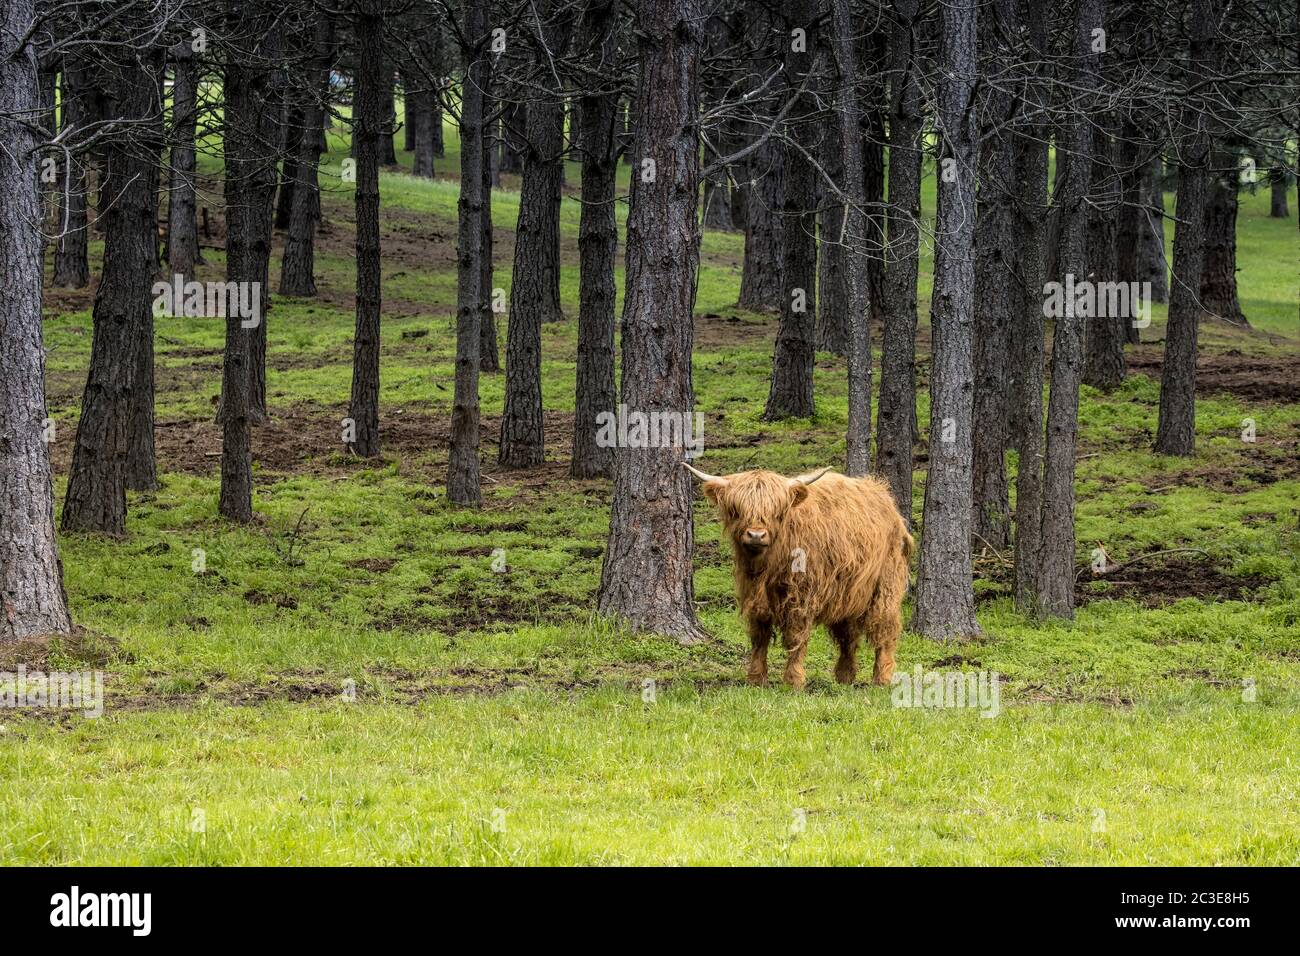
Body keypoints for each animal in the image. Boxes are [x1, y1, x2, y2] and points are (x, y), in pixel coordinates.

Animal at [683, 463, 913, 690]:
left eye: (776, 511)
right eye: (737, 509)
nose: (756, 535)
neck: (767, 567)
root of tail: (882, 494)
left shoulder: (802, 596)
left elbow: (796, 637)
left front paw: (793, 681)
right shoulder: (755, 597)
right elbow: (759, 637)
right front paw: (756, 678)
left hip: (886, 586)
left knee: (885, 630)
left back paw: (882, 679)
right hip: (847, 592)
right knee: (848, 635)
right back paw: (844, 676)